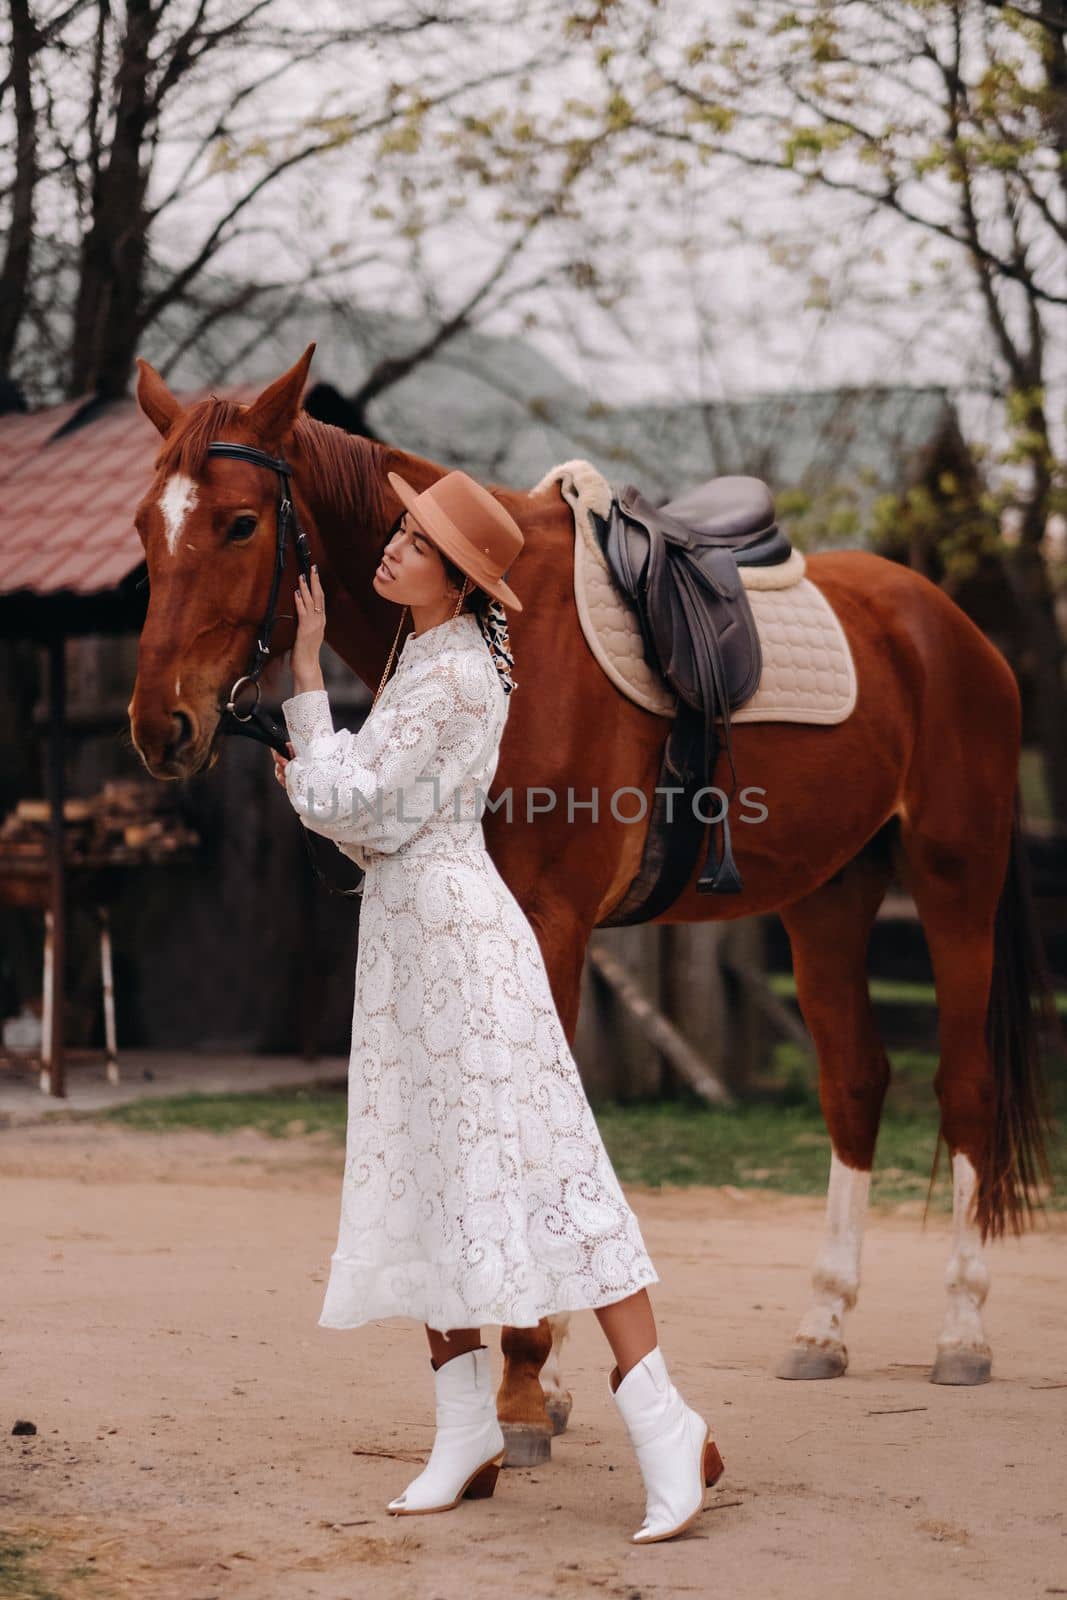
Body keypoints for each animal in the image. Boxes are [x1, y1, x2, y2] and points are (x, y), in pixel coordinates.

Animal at [131, 350, 1049, 1465]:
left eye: (237, 524)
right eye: (142, 526)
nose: (160, 726)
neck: (502, 628)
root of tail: (951, 628)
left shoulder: (553, 921)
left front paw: (528, 1383)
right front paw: (537, 1377)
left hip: (956, 881)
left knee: (961, 1088)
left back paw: (961, 1330)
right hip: (830, 900)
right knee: (856, 1085)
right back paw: (822, 1324)